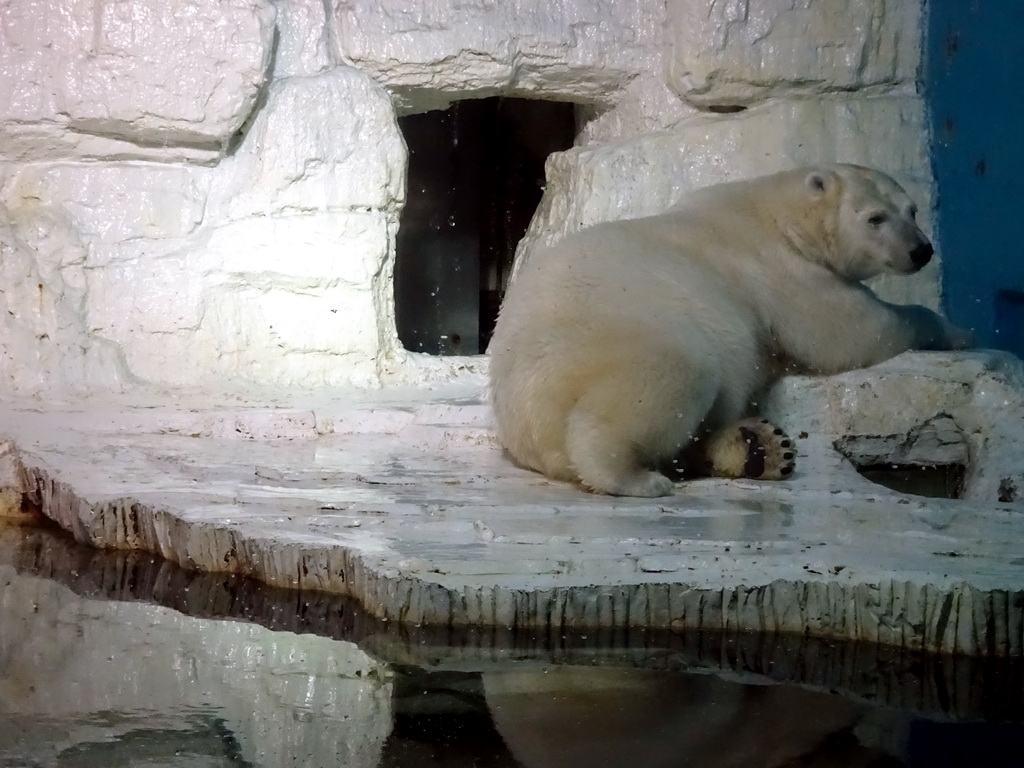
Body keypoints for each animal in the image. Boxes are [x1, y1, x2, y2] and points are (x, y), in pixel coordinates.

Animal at [491, 162, 970, 499]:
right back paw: (640, 478)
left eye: (911, 210)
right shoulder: (782, 271)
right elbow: (847, 332)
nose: (921, 250)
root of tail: (525, 421)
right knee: (667, 380)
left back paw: (759, 448)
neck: (775, 212)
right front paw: (959, 332)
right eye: (875, 218)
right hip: (615, 338)